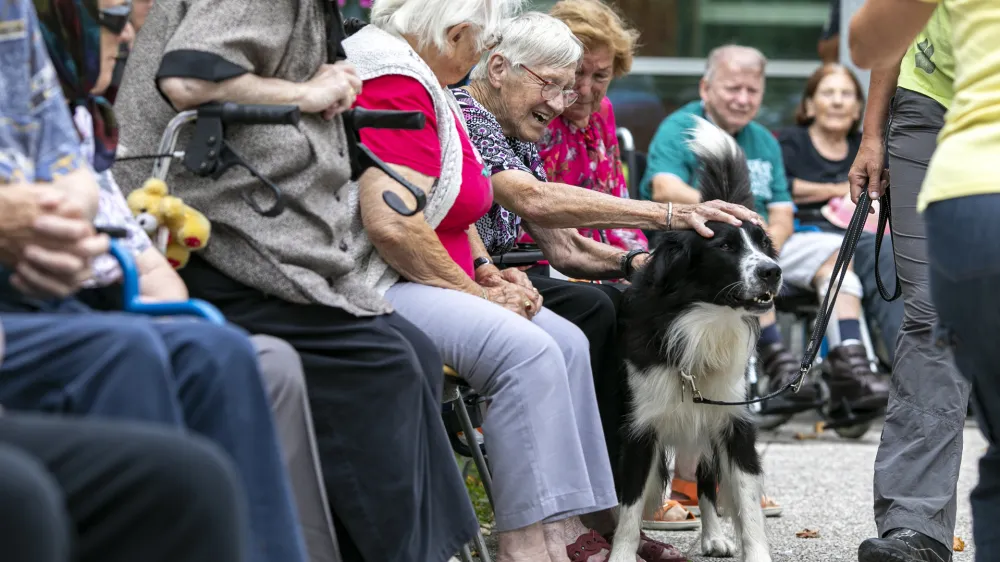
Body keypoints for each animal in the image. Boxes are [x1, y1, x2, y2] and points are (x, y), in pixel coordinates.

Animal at [608, 116, 780, 560]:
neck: (702, 321)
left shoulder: (733, 420)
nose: (773, 271)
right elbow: (629, 508)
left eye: (762, 244)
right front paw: (621, 554)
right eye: (726, 245)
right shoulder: (640, 426)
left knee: (705, 480)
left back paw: (713, 535)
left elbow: (747, 505)